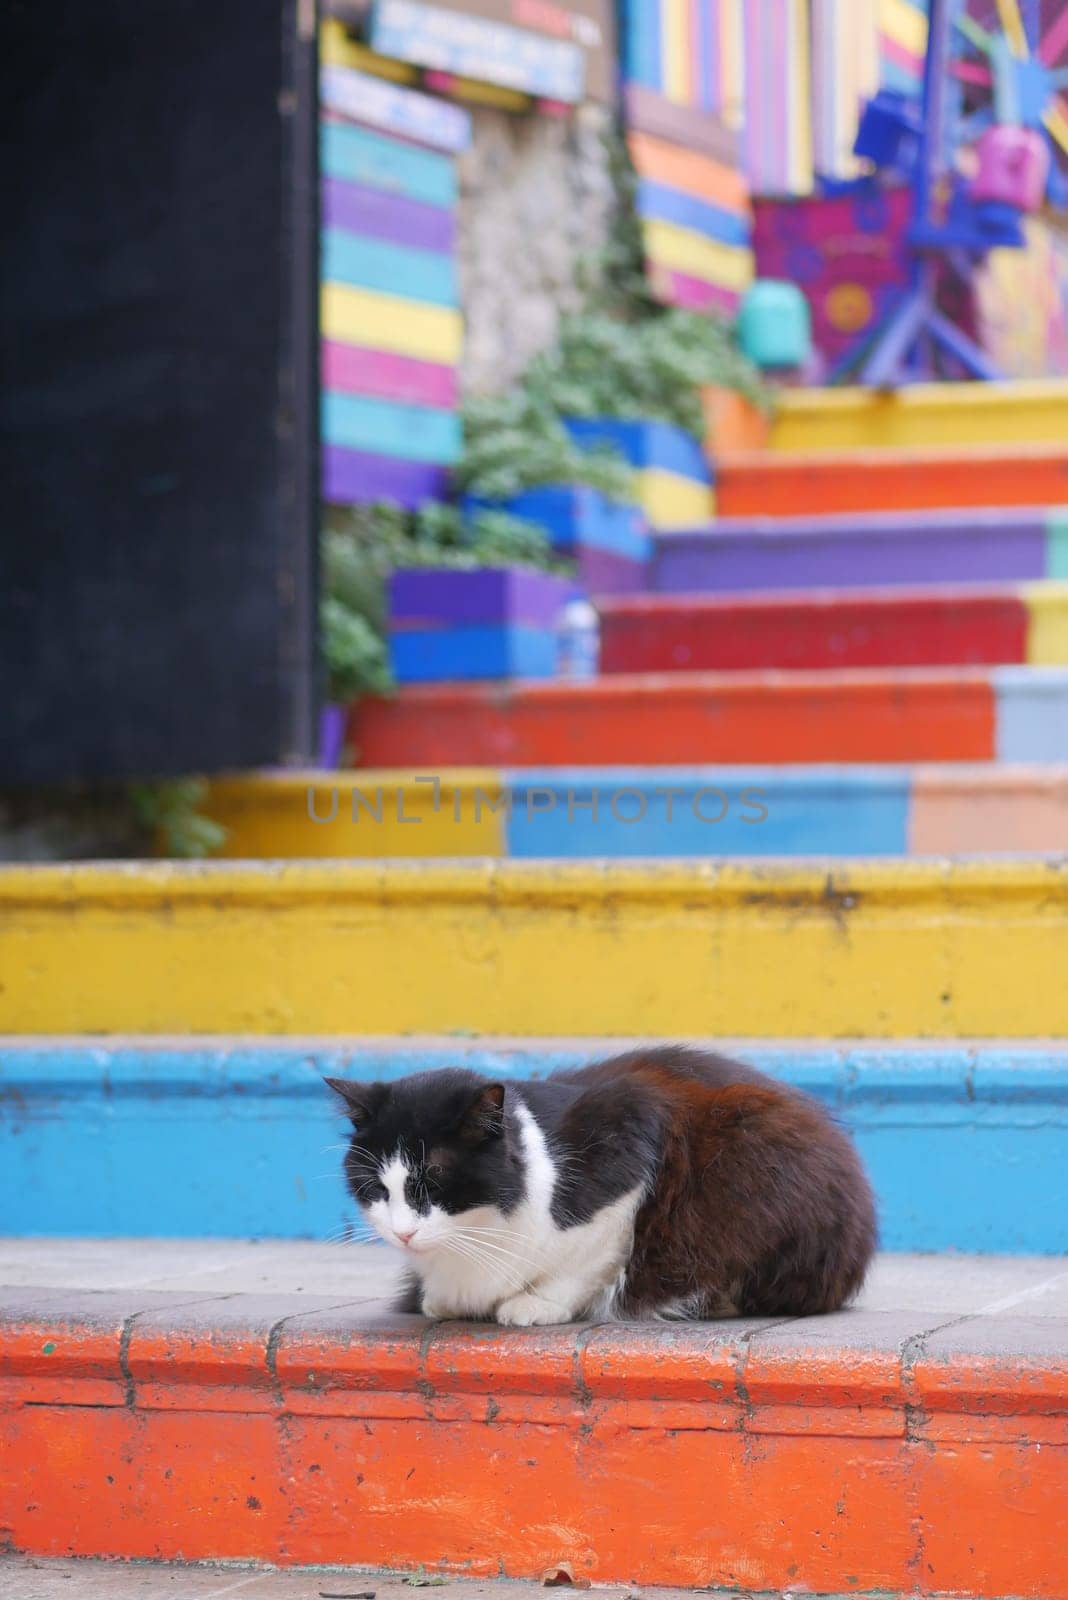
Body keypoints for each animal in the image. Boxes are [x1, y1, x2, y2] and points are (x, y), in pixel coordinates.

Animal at [326, 1043, 876, 1318]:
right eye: (375, 1184)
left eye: (435, 1178)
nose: (403, 1232)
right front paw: (439, 1299)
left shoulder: (636, 1133)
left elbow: (588, 1259)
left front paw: (537, 1304)